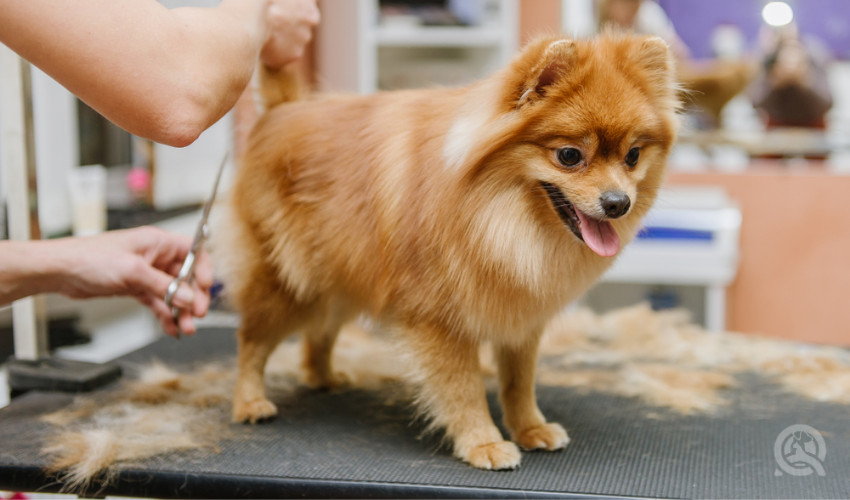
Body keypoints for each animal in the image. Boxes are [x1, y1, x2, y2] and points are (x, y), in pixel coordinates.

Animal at [215, 33, 680, 470]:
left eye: (632, 156)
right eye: (569, 155)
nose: (618, 202)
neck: (502, 220)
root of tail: (282, 108)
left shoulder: (521, 316)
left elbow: (519, 381)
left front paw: (530, 427)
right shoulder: (438, 320)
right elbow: (463, 388)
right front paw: (484, 442)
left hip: (340, 273)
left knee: (321, 331)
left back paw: (324, 376)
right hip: (281, 281)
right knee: (251, 341)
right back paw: (250, 401)